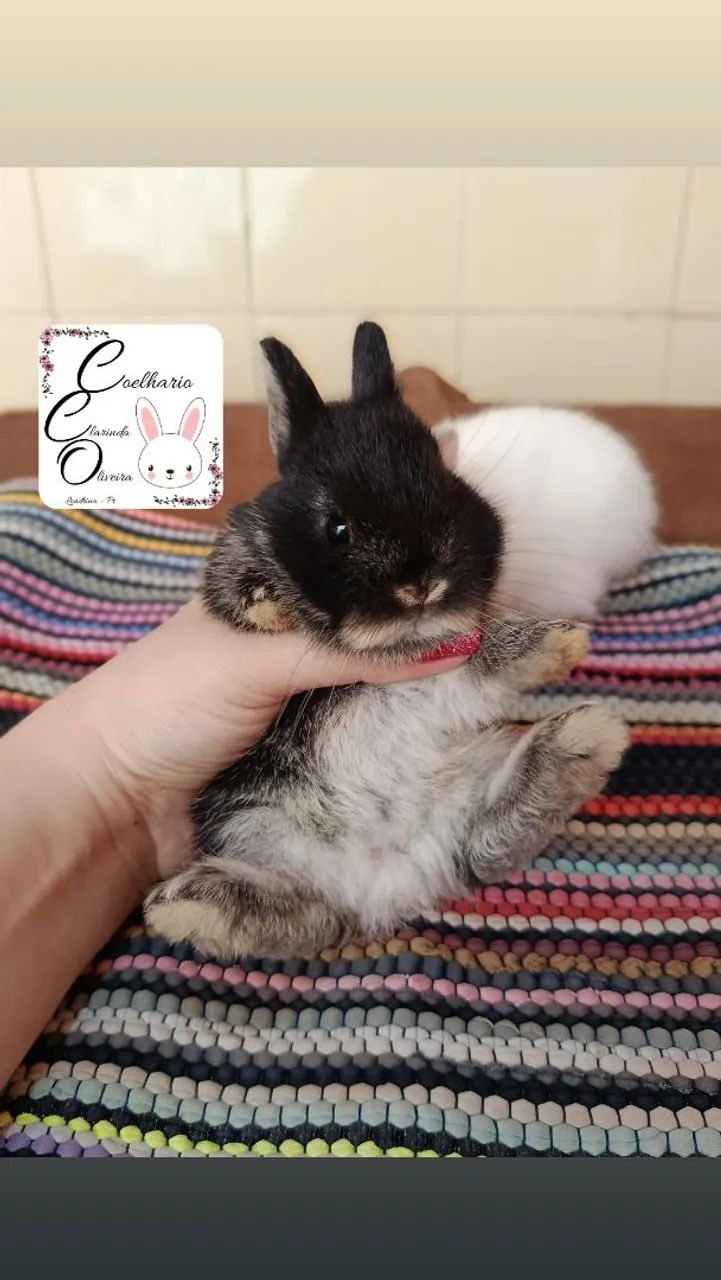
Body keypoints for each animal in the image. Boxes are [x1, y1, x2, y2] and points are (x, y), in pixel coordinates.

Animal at [144, 323, 628, 962]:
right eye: (338, 527)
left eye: (449, 487)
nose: (421, 584)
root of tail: (385, 868)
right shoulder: (236, 558)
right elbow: (233, 578)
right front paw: (270, 606)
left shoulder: (444, 660)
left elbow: (475, 654)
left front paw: (560, 643)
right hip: (257, 817)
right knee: (313, 913)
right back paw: (187, 907)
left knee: (476, 848)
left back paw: (578, 735)